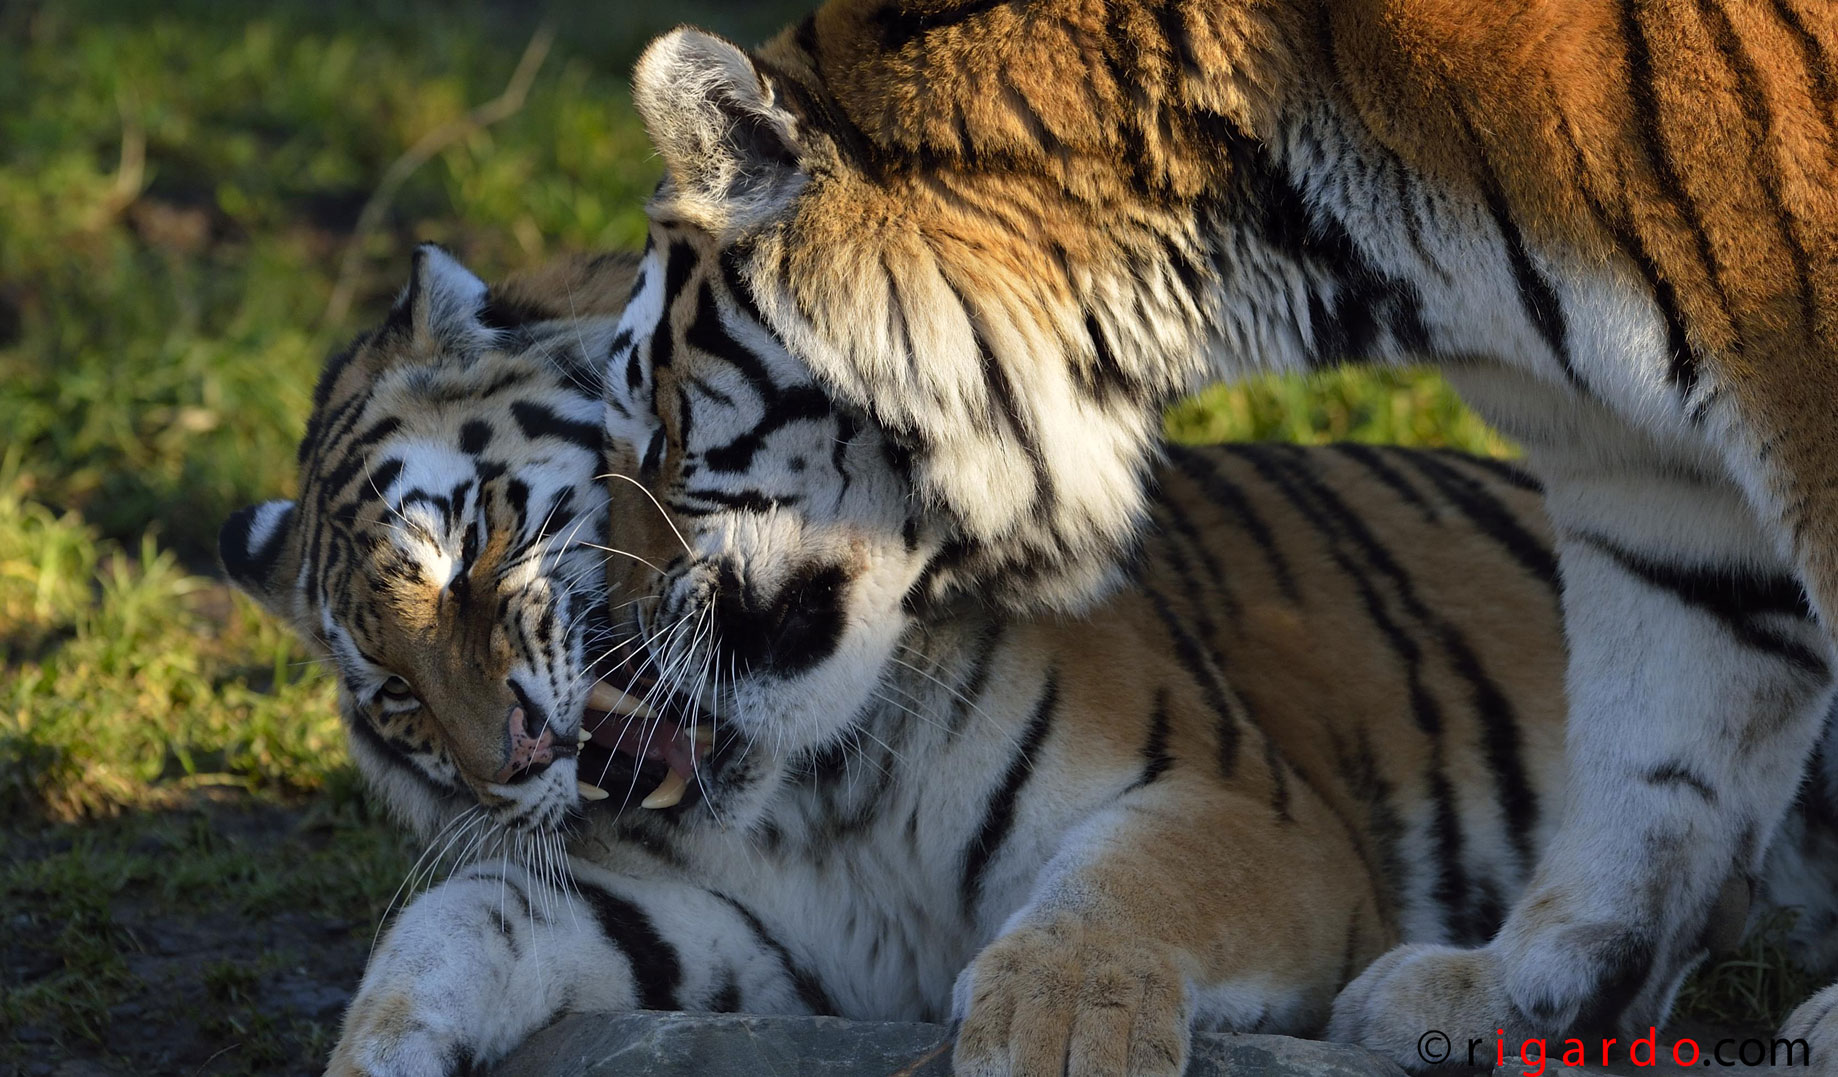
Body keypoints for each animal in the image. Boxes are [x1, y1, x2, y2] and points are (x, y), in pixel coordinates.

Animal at [222, 244, 1838, 1073]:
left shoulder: (1243, 808)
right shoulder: (753, 937)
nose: (513, 756)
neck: (803, 792)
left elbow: (1107, 900)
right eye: (392, 694)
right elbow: (460, 920)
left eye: (472, 548)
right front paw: (380, 1051)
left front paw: (1056, 1032)